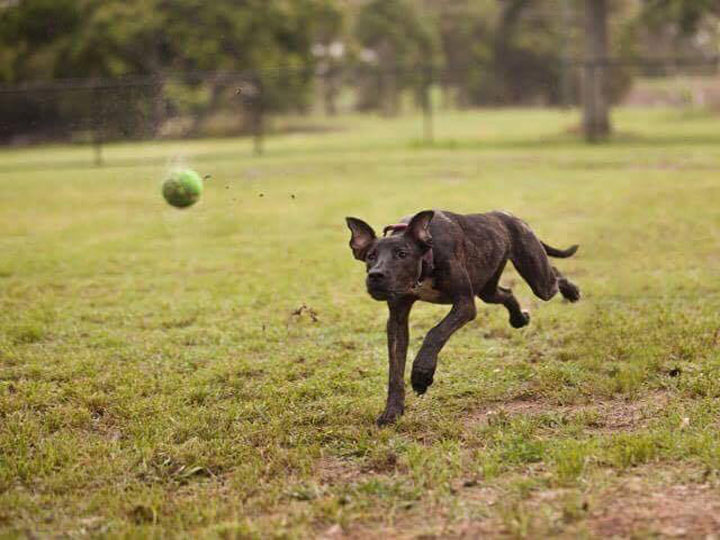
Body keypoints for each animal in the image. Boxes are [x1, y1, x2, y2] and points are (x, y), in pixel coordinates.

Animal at [346, 211, 584, 426]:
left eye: (402, 254)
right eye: (370, 257)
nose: (375, 275)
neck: (426, 259)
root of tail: (509, 216)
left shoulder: (465, 305)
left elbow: (435, 333)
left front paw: (422, 376)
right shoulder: (397, 318)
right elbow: (395, 371)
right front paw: (392, 412)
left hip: (538, 279)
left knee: (554, 275)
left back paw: (571, 291)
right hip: (488, 289)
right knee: (506, 293)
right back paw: (519, 319)